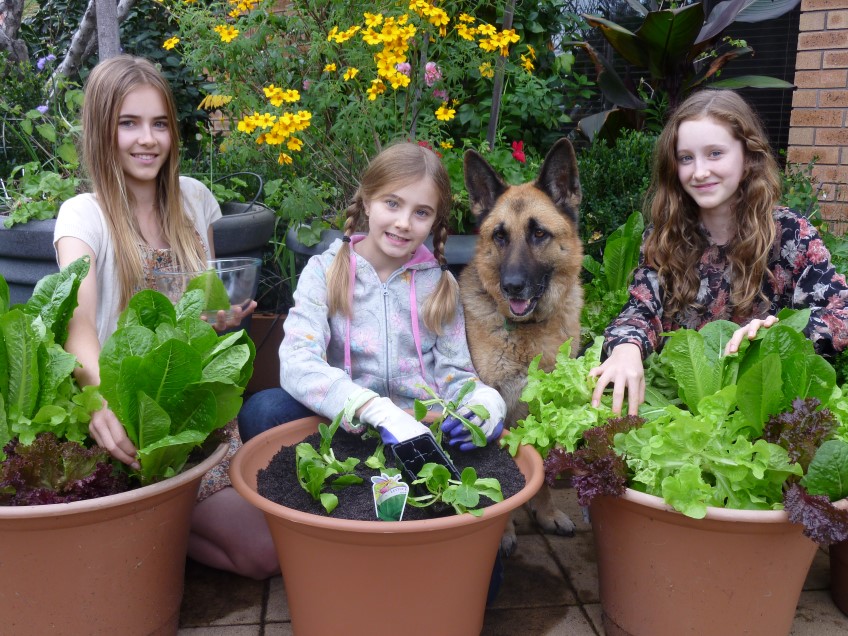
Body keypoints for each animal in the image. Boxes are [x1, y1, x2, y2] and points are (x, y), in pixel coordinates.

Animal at [458, 138, 584, 552]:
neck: (529, 333)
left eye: (539, 234)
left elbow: (540, 469)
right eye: (500, 236)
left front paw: (545, 513)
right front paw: (505, 531)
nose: (512, 286)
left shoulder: (544, 410)